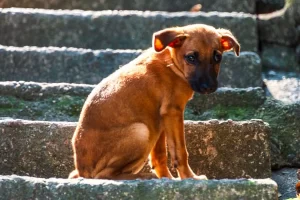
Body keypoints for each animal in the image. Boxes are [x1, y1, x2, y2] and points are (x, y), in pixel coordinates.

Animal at [68, 24, 239, 180]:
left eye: (217, 57)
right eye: (191, 58)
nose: (208, 87)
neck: (172, 63)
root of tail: (83, 171)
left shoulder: (160, 119)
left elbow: (159, 155)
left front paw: (167, 179)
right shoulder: (173, 111)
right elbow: (180, 151)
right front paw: (190, 178)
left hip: (150, 130)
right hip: (141, 131)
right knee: (104, 175)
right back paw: (141, 177)